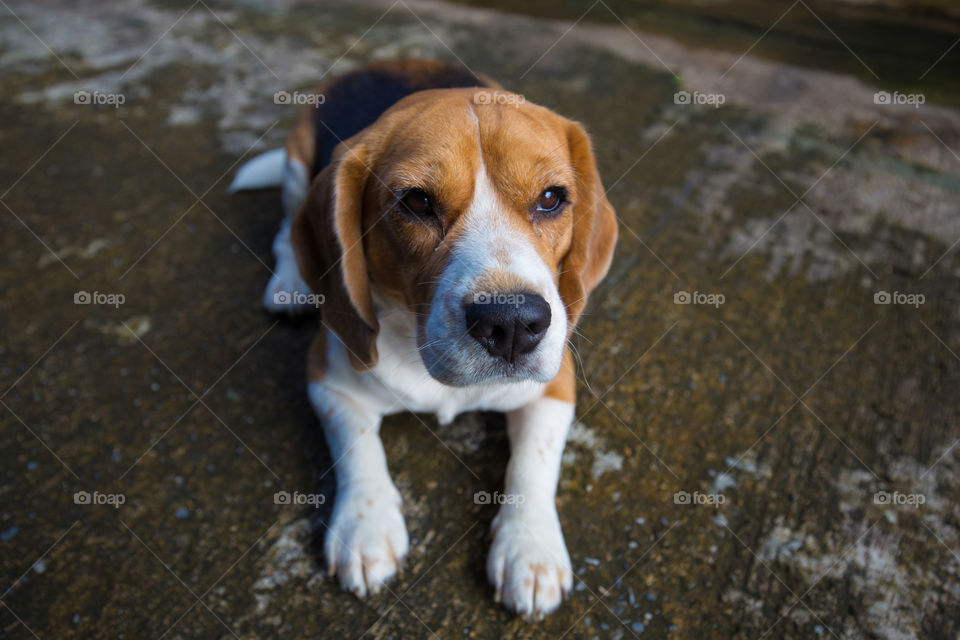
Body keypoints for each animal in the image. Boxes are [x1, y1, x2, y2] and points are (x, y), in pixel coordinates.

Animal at [232, 61, 616, 620]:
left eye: (551, 199)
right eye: (416, 202)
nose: (512, 324)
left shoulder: (556, 384)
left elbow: (534, 463)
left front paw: (531, 548)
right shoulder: (327, 378)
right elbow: (356, 444)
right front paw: (364, 527)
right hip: (295, 170)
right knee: (285, 231)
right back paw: (290, 286)